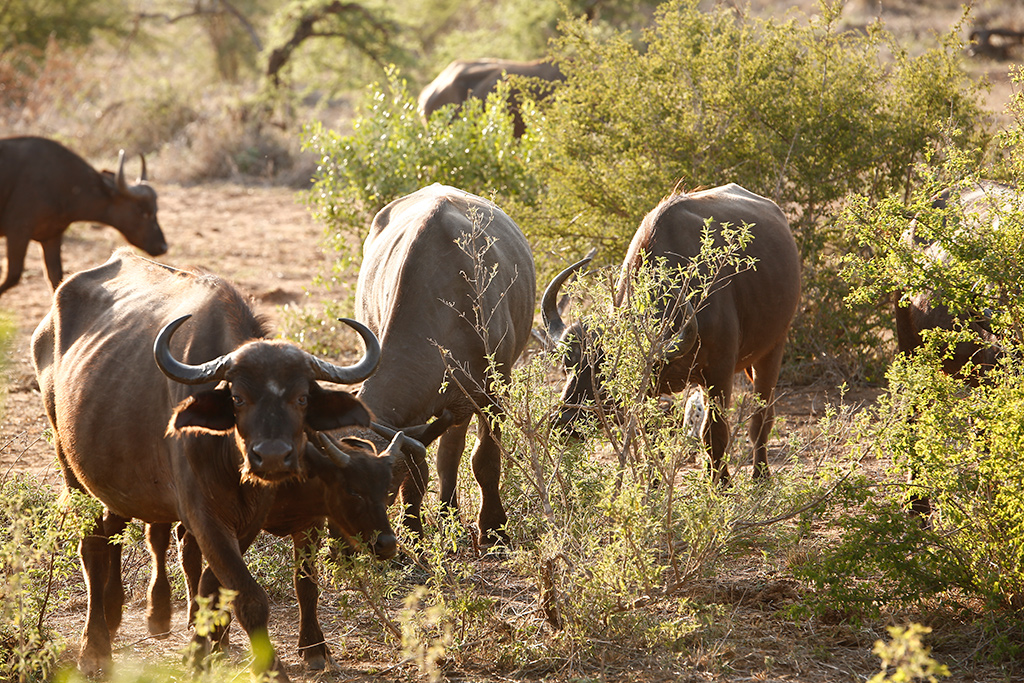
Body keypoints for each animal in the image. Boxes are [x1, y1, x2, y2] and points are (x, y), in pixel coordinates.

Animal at [0, 136, 167, 298]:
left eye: (156, 210)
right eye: (142, 211)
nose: (163, 247)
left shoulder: (51, 237)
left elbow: (56, 279)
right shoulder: (18, 232)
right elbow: (12, 275)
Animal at [31, 248, 393, 680]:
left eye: (302, 398)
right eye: (238, 397)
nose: (273, 456)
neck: (228, 456)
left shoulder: (247, 518)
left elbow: (215, 586)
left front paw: (205, 650)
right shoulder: (203, 514)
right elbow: (248, 596)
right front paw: (268, 667)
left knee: (116, 530)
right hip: (70, 466)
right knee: (93, 546)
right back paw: (95, 647)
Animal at [356, 183, 536, 545]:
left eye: (379, 492)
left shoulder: (494, 392)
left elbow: (485, 460)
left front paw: (493, 530)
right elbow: (417, 473)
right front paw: (414, 533)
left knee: (454, 450)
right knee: (448, 453)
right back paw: (446, 512)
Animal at [543, 183, 801, 484]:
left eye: (610, 375)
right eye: (567, 366)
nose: (563, 423)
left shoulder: (720, 373)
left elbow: (715, 433)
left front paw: (721, 484)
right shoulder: (652, 388)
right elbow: (651, 434)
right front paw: (653, 483)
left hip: (774, 348)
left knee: (762, 417)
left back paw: (761, 474)